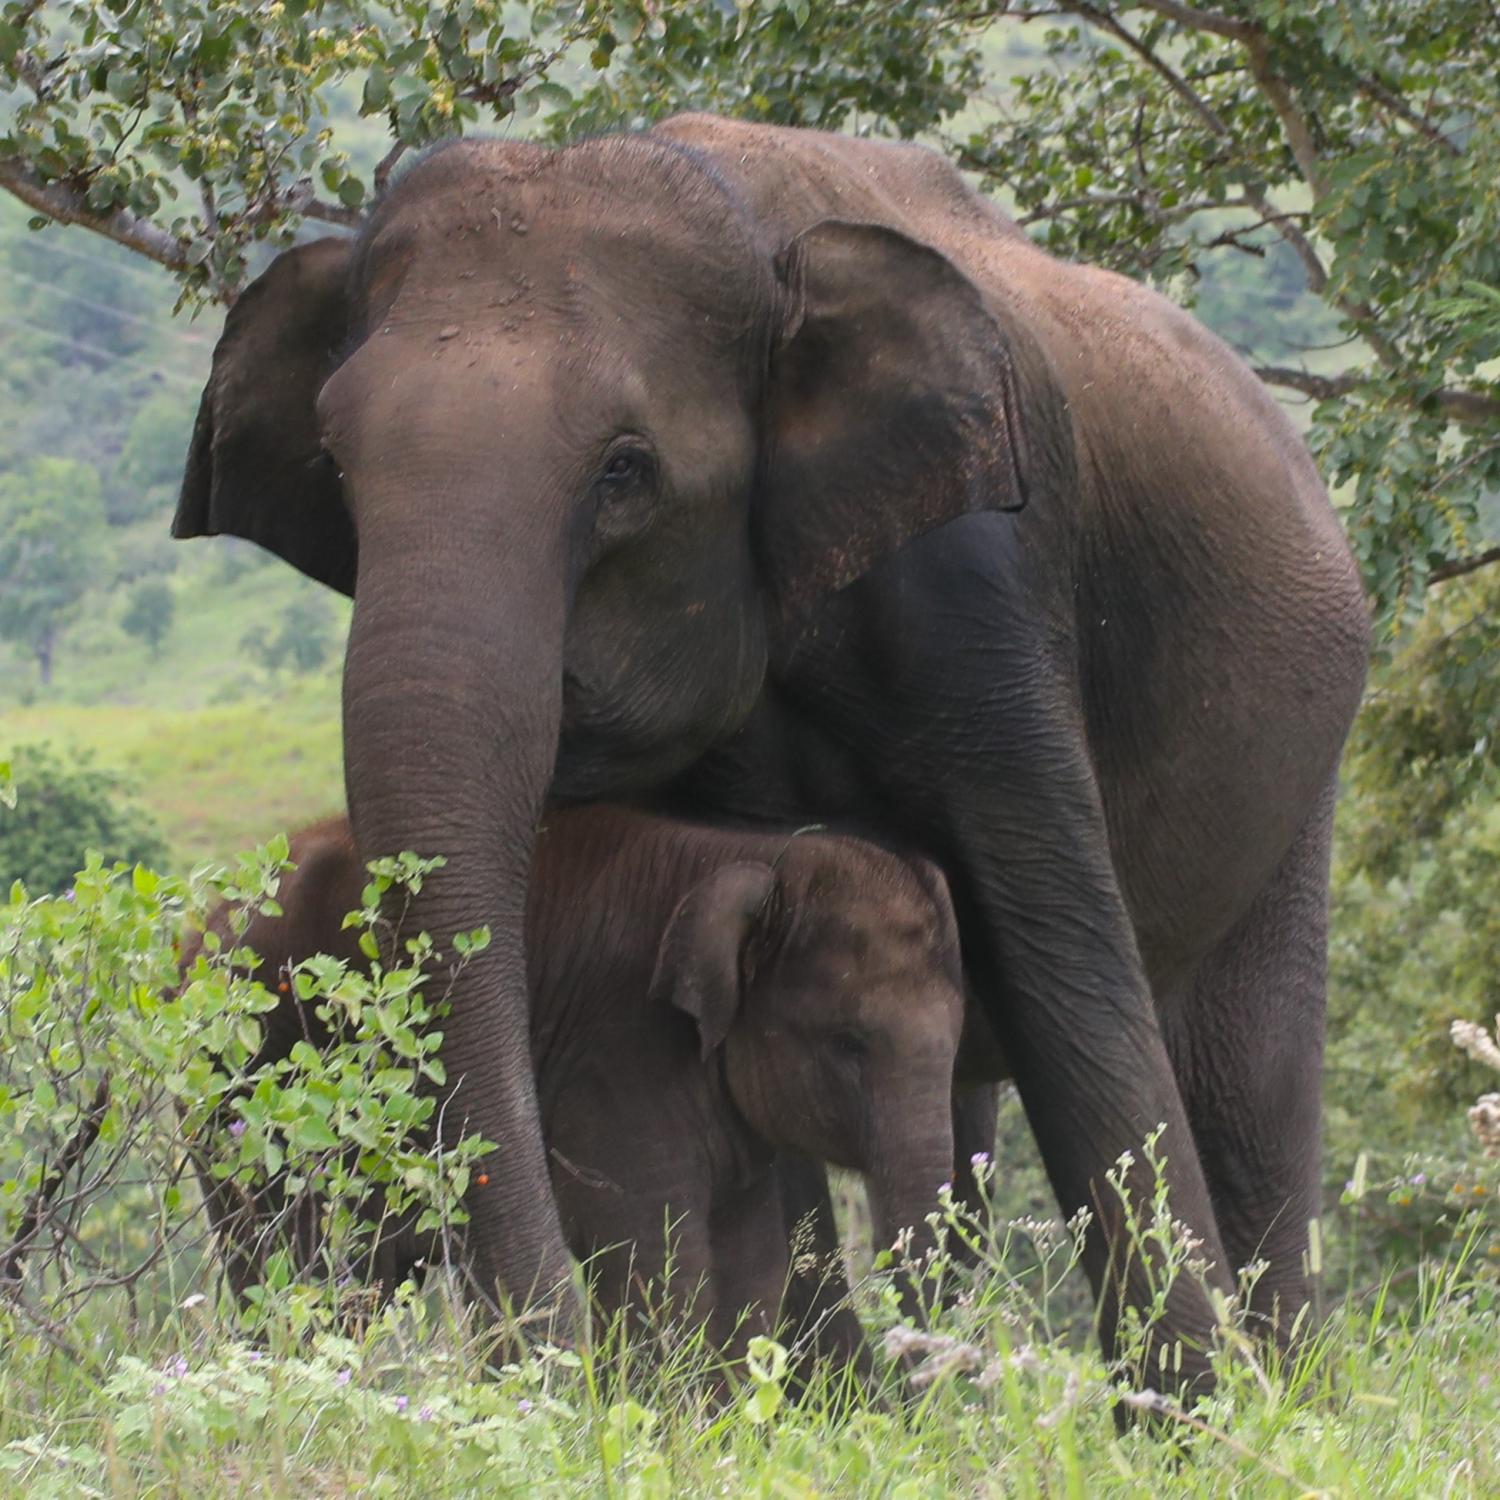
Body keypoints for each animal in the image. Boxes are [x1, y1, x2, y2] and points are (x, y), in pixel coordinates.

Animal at [190, 810, 960, 1374]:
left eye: (957, 1040)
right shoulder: (619, 1060)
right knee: (298, 1262)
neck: (756, 856)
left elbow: (752, 1262)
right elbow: (657, 1260)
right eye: (849, 1044)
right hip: (243, 1092)